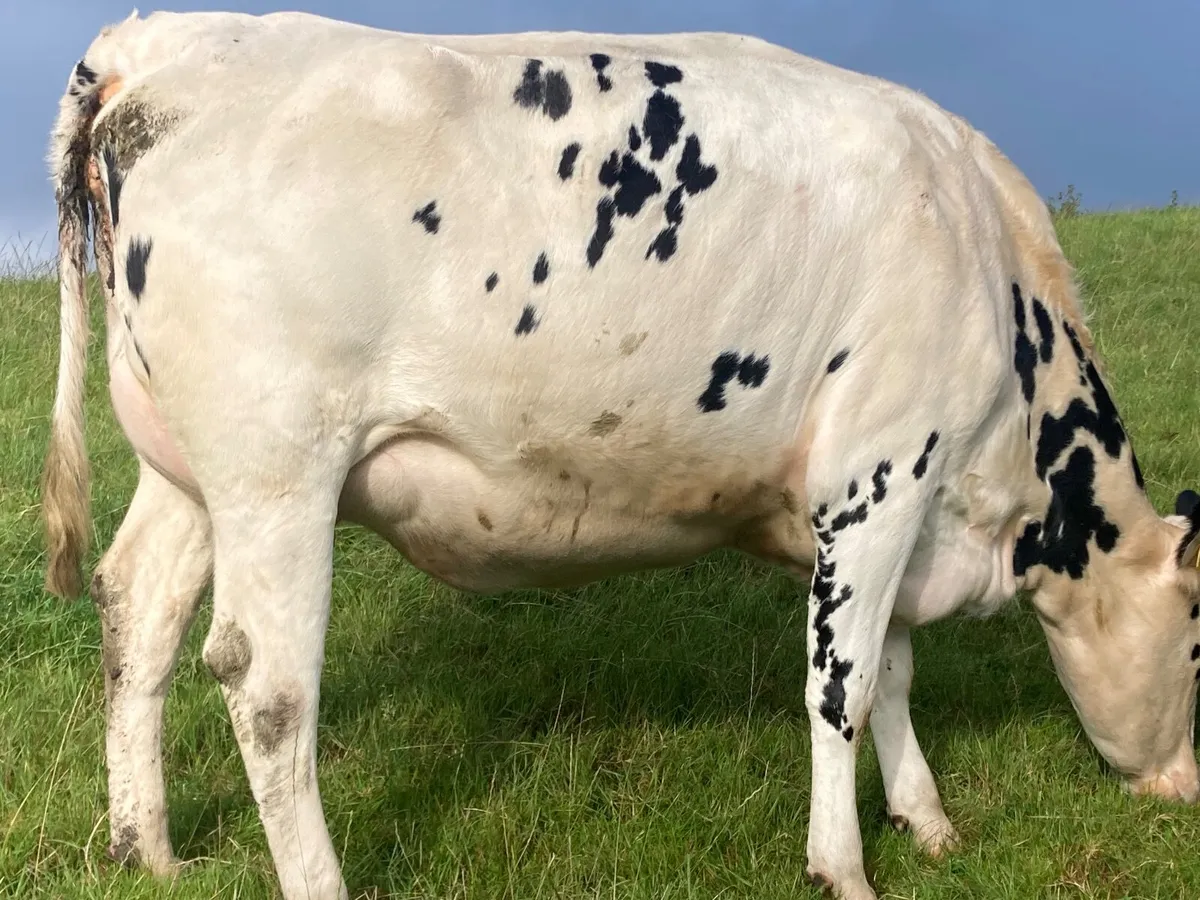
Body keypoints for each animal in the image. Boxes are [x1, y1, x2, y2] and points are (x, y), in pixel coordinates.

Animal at [42, 10, 1200, 900]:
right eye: (1196, 648)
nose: (1182, 789)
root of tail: (160, 40)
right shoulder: (878, 475)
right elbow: (845, 685)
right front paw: (845, 865)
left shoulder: (895, 509)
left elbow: (895, 673)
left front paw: (929, 820)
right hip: (277, 469)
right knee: (265, 685)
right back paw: (315, 879)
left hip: (189, 472)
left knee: (136, 609)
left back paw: (149, 851)